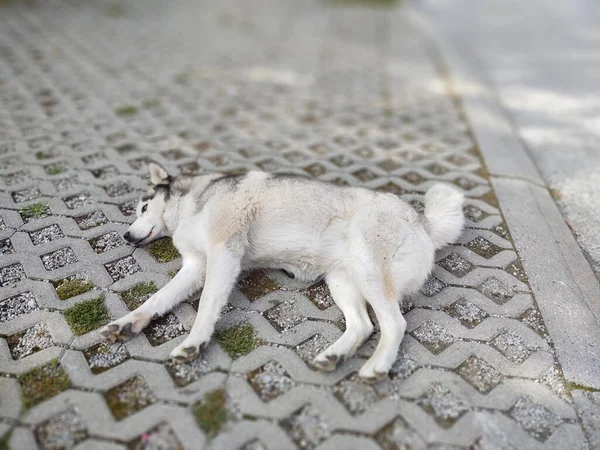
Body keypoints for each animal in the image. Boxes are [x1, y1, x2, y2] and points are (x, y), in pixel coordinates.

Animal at [101, 163, 464, 382]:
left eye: (143, 208)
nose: (126, 236)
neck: (195, 200)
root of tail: (422, 221)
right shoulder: (196, 266)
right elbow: (156, 299)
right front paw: (127, 323)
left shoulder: (224, 253)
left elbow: (206, 305)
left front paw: (195, 342)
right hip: (342, 281)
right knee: (362, 326)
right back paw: (333, 356)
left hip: (368, 270)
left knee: (395, 324)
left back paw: (377, 366)